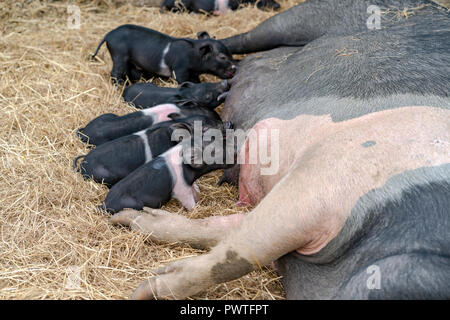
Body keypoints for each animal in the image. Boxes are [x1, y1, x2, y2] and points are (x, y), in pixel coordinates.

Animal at [110, 0, 450, 300]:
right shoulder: (323, 176)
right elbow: (238, 254)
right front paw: (141, 291)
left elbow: (223, 231)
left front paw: (131, 221)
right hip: (307, 16)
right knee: (236, 39)